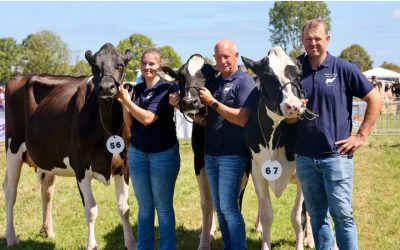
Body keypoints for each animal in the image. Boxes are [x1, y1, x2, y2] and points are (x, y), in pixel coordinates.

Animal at [2, 44, 138, 249]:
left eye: (120, 65)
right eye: (95, 67)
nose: (106, 87)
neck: (106, 128)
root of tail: (19, 76)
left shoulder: (124, 165)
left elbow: (124, 207)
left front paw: (131, 243)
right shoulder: (81, 167)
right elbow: (91, 209)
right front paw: (91, 245)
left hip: (47, 154)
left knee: (46, 188)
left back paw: (48, 231)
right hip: (13, 147)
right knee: (10, 191)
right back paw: (11, 237)